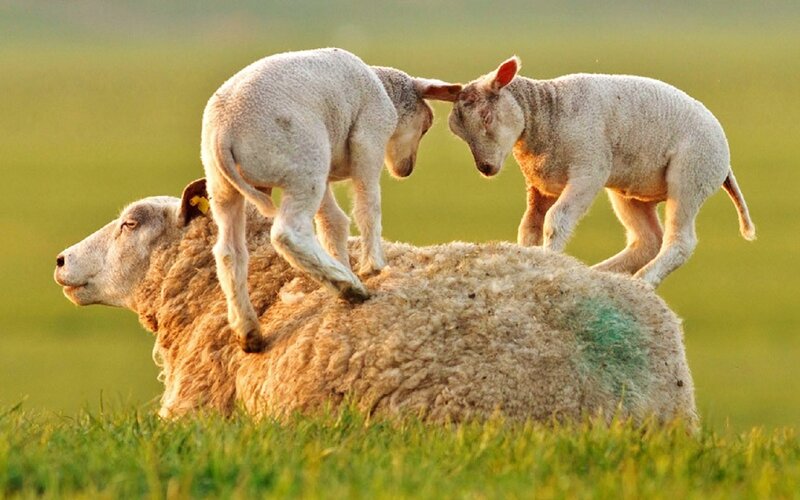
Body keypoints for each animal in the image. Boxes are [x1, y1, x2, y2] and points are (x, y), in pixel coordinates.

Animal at [201, 47, 460, 352]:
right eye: (427, 125)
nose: (405, 170)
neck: (385, 88)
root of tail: (223, 134)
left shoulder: (327, 176)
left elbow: (332, 222)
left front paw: (343, 261)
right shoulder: (369, 136)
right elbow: (368, 206)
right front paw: (374, 265)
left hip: (223, 187)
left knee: (229, 252)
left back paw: (248, 329)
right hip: (304, 161)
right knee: (288, 233)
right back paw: (349, 287)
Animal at [436, 56, 755, 287]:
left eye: (487, 117)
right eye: (457, 131)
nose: (486, 169)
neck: (547, 115)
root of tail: (726, 161)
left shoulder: (588, 171)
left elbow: (556, 221)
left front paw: (551, 261)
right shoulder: (539, 185)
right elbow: (528, 228)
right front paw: (531, 259)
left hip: (692, 173)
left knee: (679, 242)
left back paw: (643, 281)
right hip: (631, 192)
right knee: (647, 241)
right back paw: (601, 274)